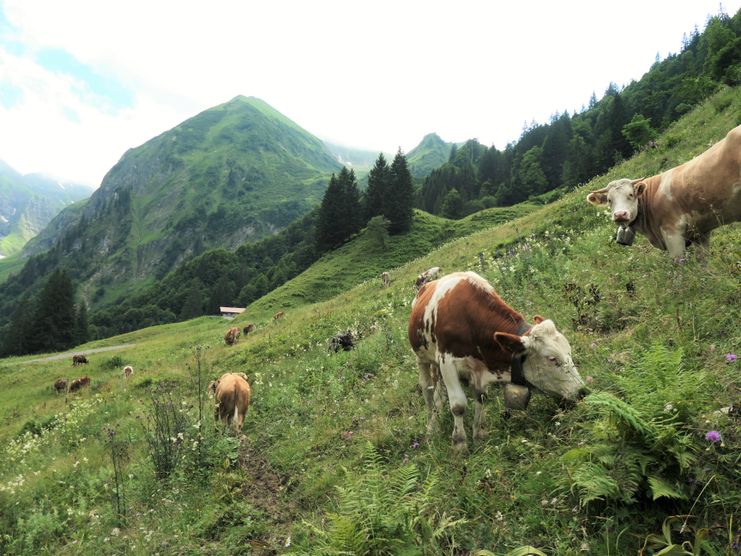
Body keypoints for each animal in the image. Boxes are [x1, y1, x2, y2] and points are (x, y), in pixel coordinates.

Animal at [404, 272, 584, 450]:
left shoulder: (479, 368)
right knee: (427, 390)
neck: (470, 318)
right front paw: (459, 444)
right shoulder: (447, 362)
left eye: (569, 351)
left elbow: (481, 397)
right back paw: (432, 426)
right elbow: (458, 405)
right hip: (421, 358)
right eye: (552, 359)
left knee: (438, 392)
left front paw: (479, 435)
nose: (582, 391)